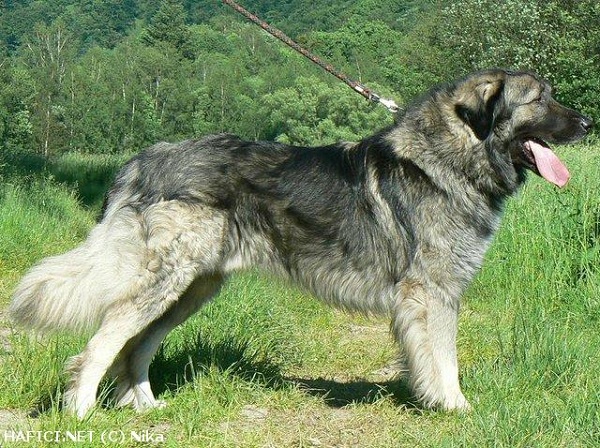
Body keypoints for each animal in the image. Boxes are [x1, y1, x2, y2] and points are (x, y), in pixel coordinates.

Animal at [8, 68, 592, 418]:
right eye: (539, 100)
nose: (588, 121)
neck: (452, 156)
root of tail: (140, 162)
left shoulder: (424, 300)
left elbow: (426, 358)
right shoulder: (435, 293)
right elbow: (444, 359)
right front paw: (456, 408)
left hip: (192, 288)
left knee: (134, 348)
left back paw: (149, 409)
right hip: (164, 281)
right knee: (101, 346)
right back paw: (83, 413)